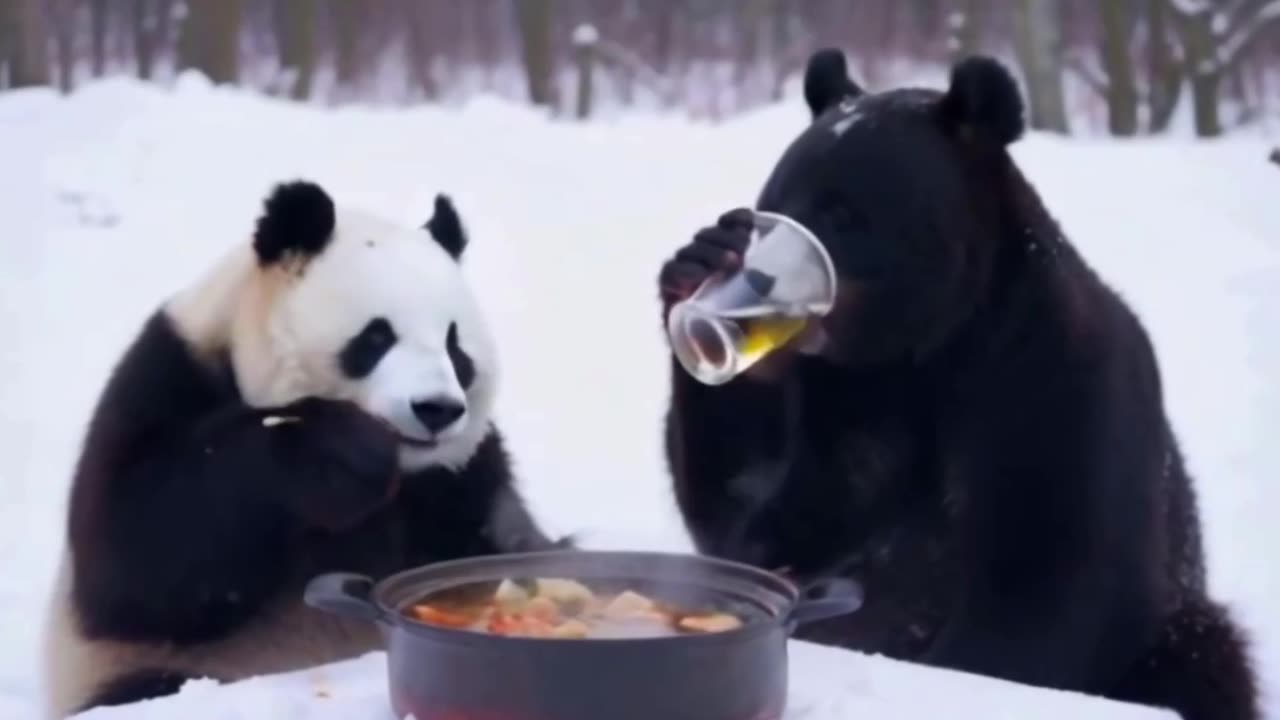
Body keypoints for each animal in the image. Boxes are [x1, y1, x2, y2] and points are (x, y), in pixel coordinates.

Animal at [42, 179, 563, 717]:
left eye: (455, 347)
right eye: (376, 337)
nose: (436, 408)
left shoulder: (461, 474)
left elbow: (494, 540)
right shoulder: (165, 378)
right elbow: (138, 562)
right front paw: (342, 456)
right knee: (144, 684)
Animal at [660, 50, 1259, 717]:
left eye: (845, 212)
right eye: (773, 203)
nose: (762, 281)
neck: (924, 350)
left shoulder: (1047, 392)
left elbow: (1050, 581)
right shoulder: (848, 409)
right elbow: (754, 517)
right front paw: (700, 266)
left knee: (1207, 654)